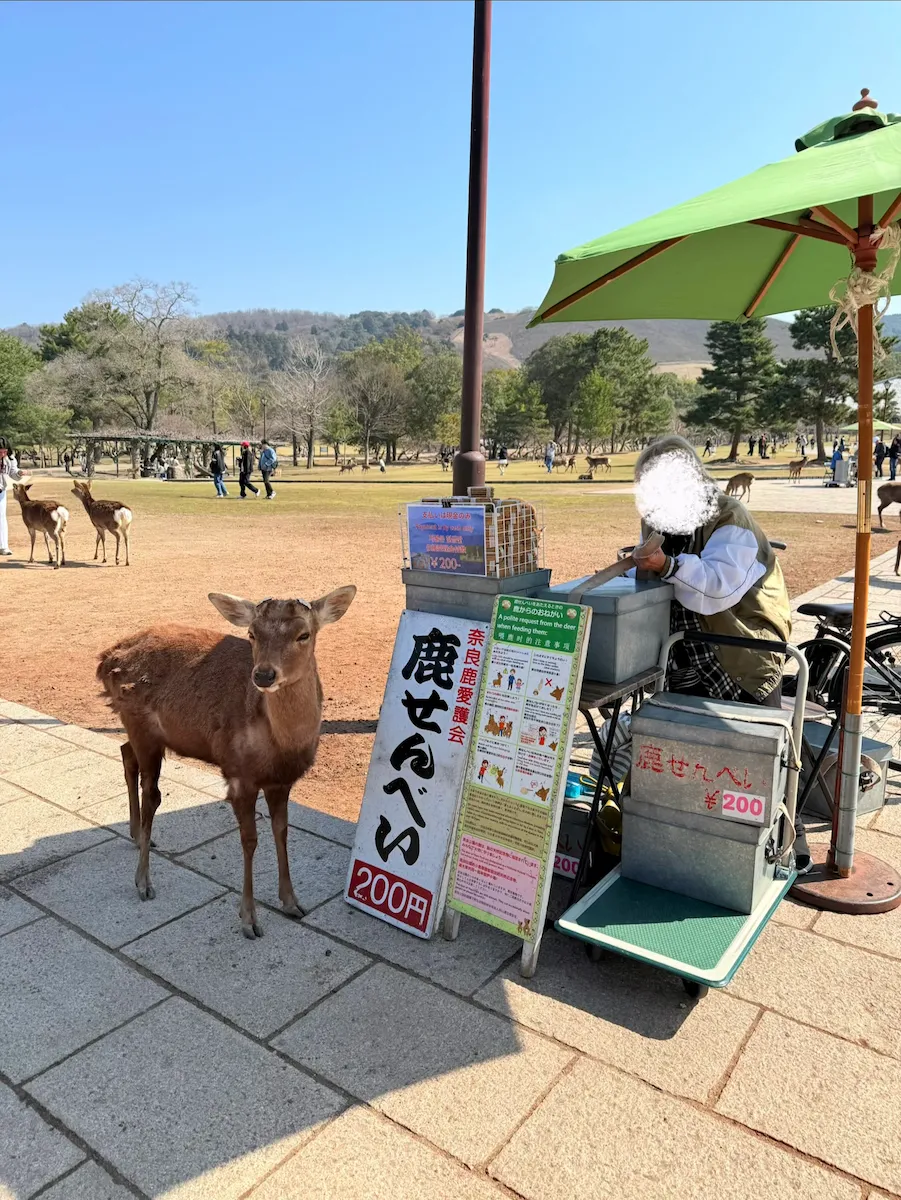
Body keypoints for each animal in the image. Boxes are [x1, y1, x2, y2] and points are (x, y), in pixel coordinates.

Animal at [97, 586, 356, 939]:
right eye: (252, 634)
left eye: (304, 634)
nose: (263, 674)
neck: (280, 745)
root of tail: (106, 658)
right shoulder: (239, 775)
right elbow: (250, 840)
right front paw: (249, 920)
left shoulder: (282, 780)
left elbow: (282, 831)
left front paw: (292, 903)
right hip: (140, 725)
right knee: (152, 793)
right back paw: (143, 881)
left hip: (143, 732)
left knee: (125, 754)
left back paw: (136, 836)